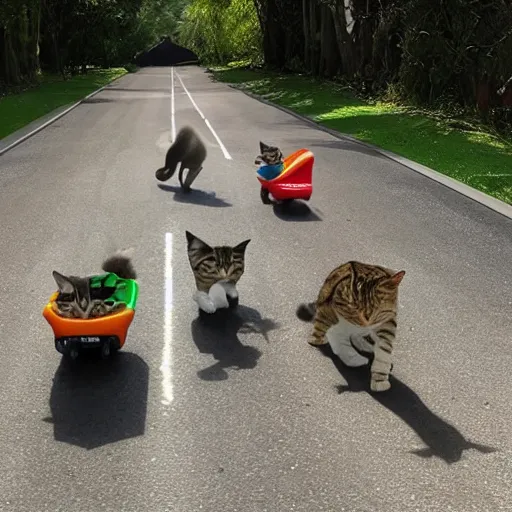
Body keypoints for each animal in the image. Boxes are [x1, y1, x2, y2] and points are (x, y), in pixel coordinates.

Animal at [294, 260, 406, 392]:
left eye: (377, 309)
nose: (365, 321)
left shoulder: (387, 322)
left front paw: (380, 378)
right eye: (355, 308)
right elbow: (340, 338)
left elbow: (384, 350)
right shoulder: (340, 313)